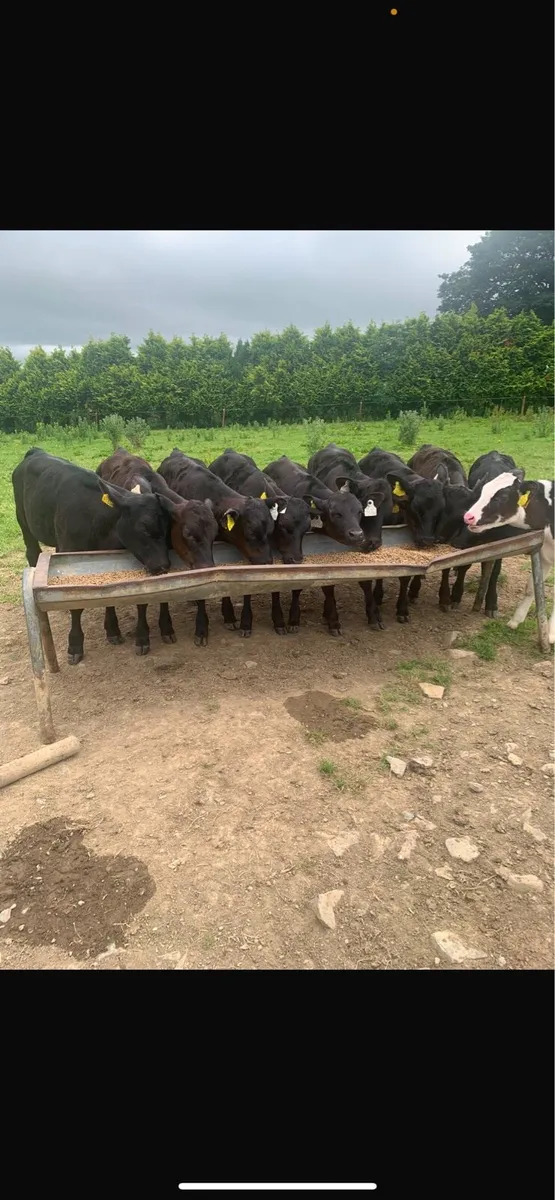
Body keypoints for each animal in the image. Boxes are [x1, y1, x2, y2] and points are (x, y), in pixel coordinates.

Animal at [12, 447, 171, 664]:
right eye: (143, 528)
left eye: (167, 526)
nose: (163, 565)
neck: (96, 520)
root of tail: (35, 452)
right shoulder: (71, 552)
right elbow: (76, 606)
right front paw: (75, 645)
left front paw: (112, 630)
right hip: (25, 523)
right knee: (32, 552)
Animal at [264, 455, 365, 634]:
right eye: (336, 513)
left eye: (359, 511)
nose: (357, 534)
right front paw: (292, 620)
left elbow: (328, 585)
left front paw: (331, 618)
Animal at [463, 472, 555, 643]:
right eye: (483, 490)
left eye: (502, 496)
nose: (468, 516)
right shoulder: (544, 554)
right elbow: (532, 587)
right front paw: (515, 620)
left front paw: (551, 634)